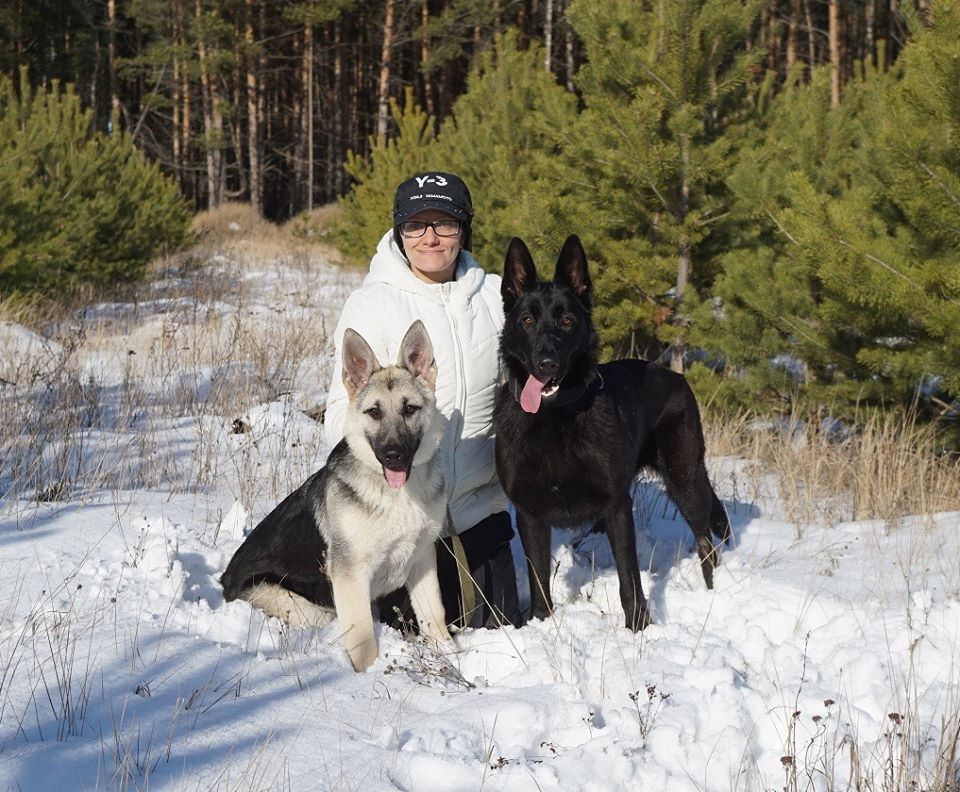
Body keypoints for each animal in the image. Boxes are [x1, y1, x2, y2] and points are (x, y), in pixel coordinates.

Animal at [496, 235, 728, 632]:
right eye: (526, 320)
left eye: (567, 321)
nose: (546, 364)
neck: (556, 417)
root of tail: (675, 375)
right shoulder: (529, 514)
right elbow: (539, 580)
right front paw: (541, 623)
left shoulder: (618, 506)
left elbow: (628, 578)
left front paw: (639, 627)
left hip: (686, 480)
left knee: (706, 543)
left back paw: (713, 595)